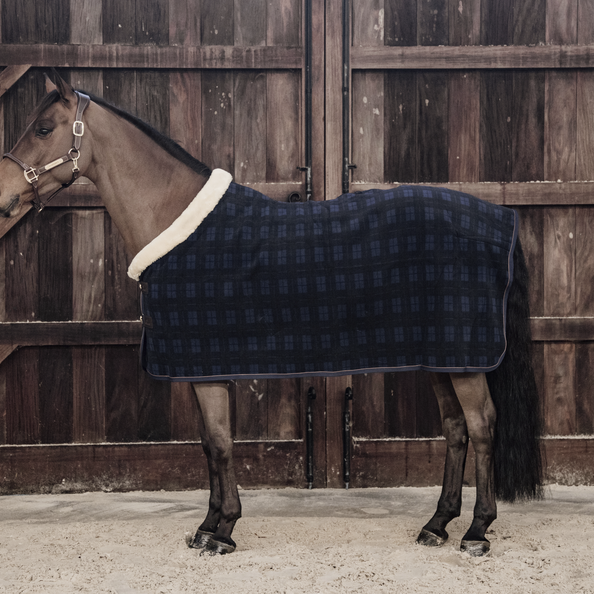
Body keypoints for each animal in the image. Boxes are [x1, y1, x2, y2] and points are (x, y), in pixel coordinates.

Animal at [0, 74, 540, 556]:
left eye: (43, 129)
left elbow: (220, 444)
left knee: (482, 426)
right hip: (442, 358)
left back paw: (477, 531)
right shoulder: (200, 369)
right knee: (455, 429)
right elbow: (208, 444)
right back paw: (437, 524)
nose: (4, 196)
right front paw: (207, 526)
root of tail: (501, 219)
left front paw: (222, 532)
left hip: (465, 360)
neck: (180, 223)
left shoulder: (209, 368)